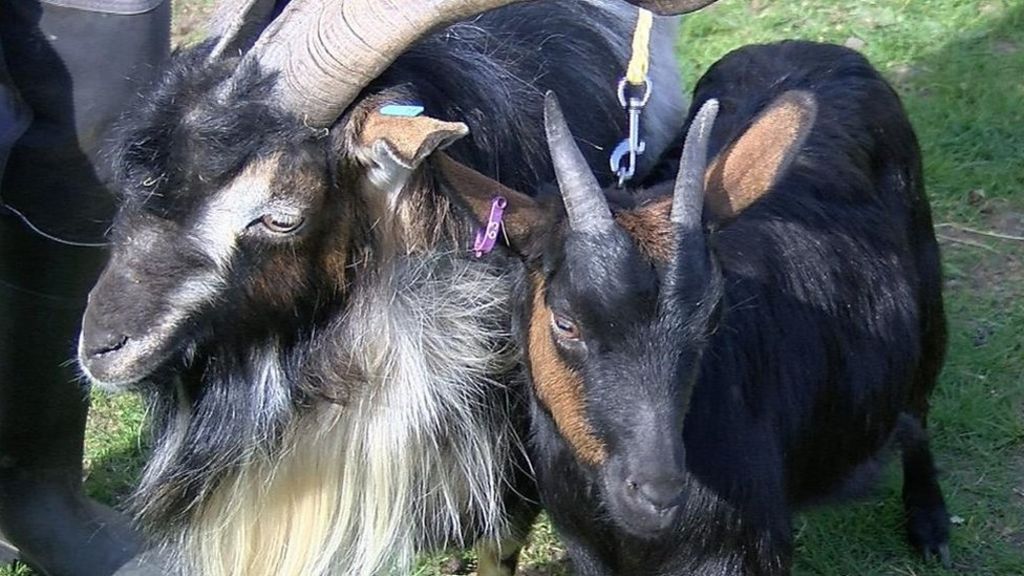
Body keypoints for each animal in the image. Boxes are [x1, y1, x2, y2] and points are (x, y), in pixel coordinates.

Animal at [451, 40, 951, 574]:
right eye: (565, 322)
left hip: (928, 302)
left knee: (918, 412)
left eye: (711, 318)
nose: (658, 493)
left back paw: (930, 524)